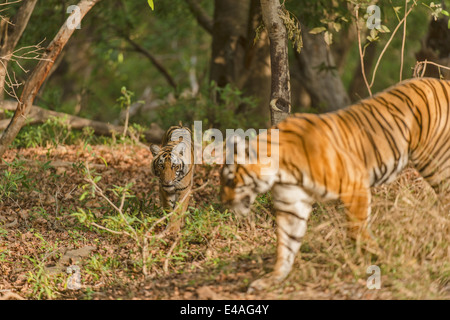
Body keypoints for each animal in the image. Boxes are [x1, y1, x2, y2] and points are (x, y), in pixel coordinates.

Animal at [221, 77, 450, 292]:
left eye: (230, 179)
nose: (224, 203)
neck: (282, 172)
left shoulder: (355, 185)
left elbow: (356, 231)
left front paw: (384, 259)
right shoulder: (292, 206)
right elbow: (286, 245)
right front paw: (271, 279)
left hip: (435, 162)